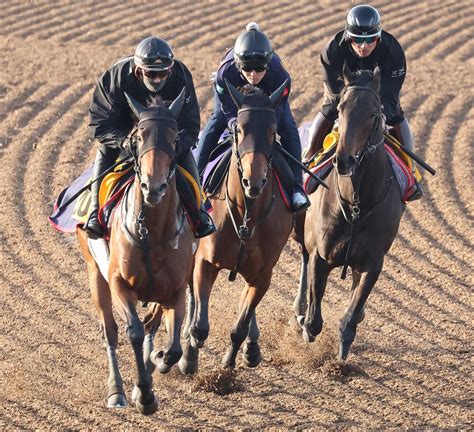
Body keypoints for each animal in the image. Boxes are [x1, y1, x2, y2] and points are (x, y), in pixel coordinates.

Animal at [77, 88, 193, 416]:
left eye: (174, 137)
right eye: (139, 136)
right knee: (110, 331)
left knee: (153, 321)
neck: (152, 232)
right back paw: (116, 391)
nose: (153, 187)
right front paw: (144, 395)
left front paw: (157, 364)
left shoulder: (177, 289)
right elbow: (133, 332)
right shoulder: (119, 284)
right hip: (95, 273)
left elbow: (173, 347)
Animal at [180, 81, 294, 374]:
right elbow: (200, 326)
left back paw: (251, 348)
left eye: (273, 131)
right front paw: (189, 355)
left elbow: (241, 324)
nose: (253, 181)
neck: (246, 215)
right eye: (239, 129)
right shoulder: (205, 262)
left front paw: (230, 361)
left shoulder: (264, 275)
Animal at [294, 66, 406, 360]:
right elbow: (314, 320)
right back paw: (299, 309)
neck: (357, 204)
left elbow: (350, 317)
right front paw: (306, 324)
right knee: (302, 257)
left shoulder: (372, 263)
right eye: (340, 109)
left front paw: (342, 358)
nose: (344, 160)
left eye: (373, 113)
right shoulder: (321, 255)